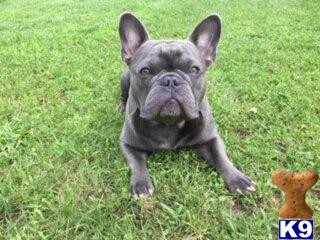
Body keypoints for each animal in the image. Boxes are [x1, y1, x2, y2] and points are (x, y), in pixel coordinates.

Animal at [117, 12, 255, 198]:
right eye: (145, 71)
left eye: (194, 69)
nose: (171, 80)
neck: (168, 124)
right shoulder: (127, 143)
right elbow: (136, 163)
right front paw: (141, 185)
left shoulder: (211, 138)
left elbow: (221, 157)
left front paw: (237, 179)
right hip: (125, 78)